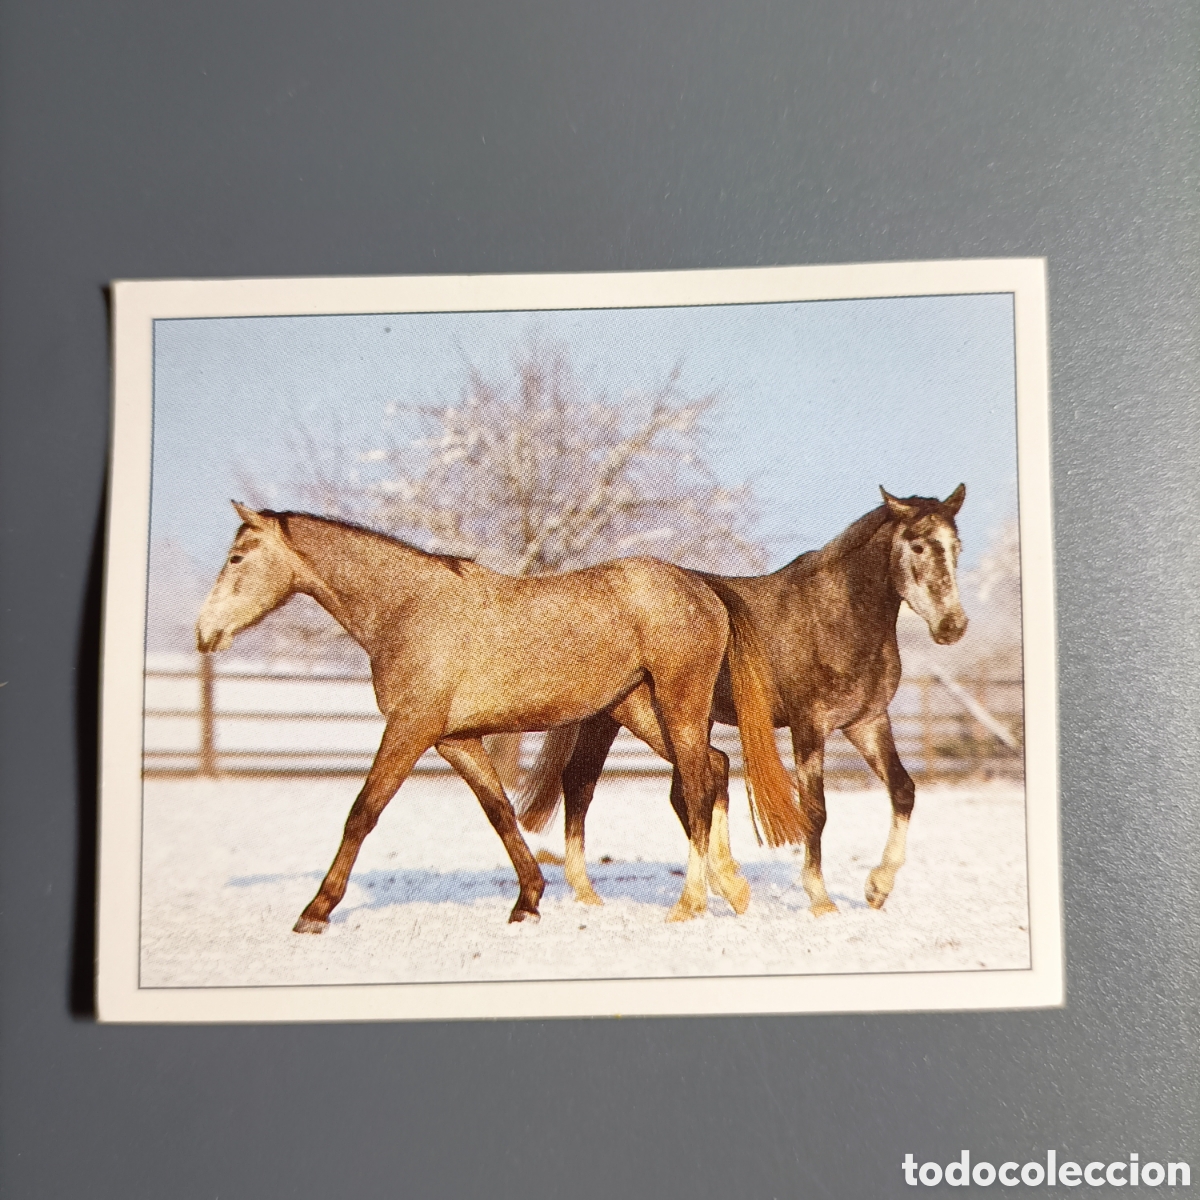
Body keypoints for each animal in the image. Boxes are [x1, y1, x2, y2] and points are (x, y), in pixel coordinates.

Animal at [195, 504, 803, 931]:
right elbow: (501, 813)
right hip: (638, 710)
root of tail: (700, 584)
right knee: (716, 768)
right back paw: (732, 890)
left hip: (678, 705)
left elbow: (362, 813)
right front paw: (528, 900)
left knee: (697, 785)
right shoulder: (456, 740)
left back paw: (691, 901)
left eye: (237, 558)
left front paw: (316, 910)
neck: (409, 609)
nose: (204, 632)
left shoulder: (410, 730)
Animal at [516, 486, 968, 917]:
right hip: (617, 718)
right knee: (584, 784)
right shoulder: (810, 726)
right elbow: (815, 810)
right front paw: (820, 898)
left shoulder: (867, 722)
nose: (953, 626)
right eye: (918, 545)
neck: (834, 618)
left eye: (956, 546)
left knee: (669, 789)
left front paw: (878, 887)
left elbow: (903, 790)